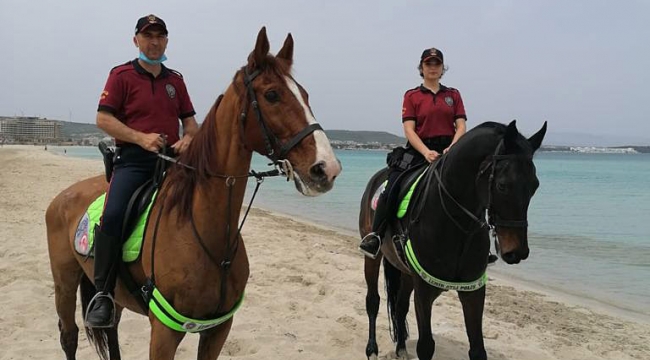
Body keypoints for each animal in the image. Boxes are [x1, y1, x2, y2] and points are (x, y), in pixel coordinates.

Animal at [46, 28, 340, 360]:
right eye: (272, 95)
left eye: (305, 95)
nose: (327, 168)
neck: (204, 233)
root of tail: (63, 197)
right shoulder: (164, 333)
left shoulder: (217, 330)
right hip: (64, 282)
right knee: (69, 335)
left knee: (112, 332)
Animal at [356, 119, 544, 358]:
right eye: (502, 185)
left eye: (535, 185)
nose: (517, 251)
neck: (456, 224)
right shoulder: (424, 289)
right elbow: (426, 346)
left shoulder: (473, 291)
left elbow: (478, 349)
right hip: (373, 257)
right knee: (373, 301)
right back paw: (372, 349)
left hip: (406, 272)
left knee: (400, 306)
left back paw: (401, 349)